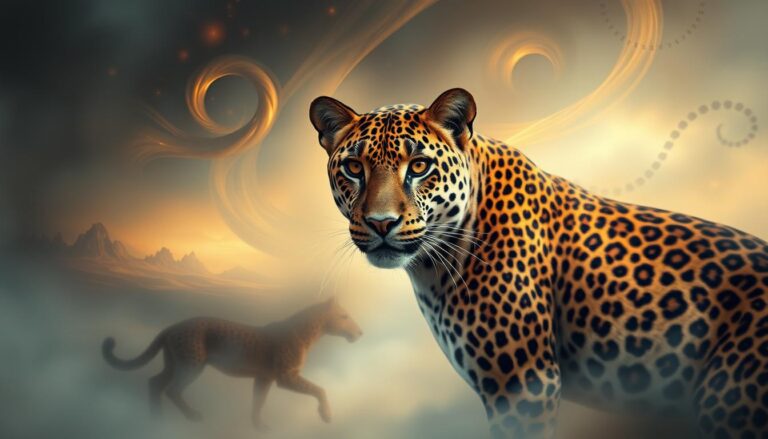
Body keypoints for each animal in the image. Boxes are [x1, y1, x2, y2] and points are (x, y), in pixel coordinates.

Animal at [102, 297, 362, 429]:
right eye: (344, 316)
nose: (360, 332)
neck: (313, 333)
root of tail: (172, 326)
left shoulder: (264, 377)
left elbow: (258, 401)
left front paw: (258, 426)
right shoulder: (285, 376)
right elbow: (319, 389)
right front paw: (326, 415)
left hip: (174, 363)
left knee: (154, 382)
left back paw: (155, 419)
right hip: (191, 365)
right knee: (172, 389)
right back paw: (192, 416)